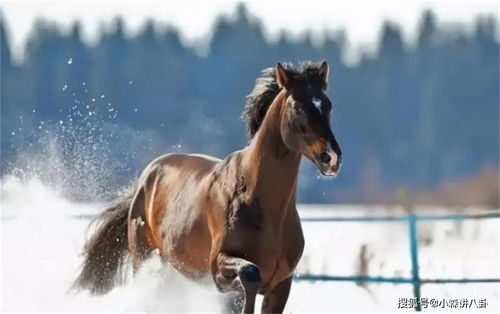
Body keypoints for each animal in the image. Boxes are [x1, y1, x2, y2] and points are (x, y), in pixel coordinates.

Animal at [73, 60, 340, 312]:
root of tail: (145, 180)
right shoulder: (221, 271)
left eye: (328, 105)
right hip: (145, 259)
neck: (260, 204)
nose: (331, 157)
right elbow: (250, 275)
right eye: (298, 107)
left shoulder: (281, 285)